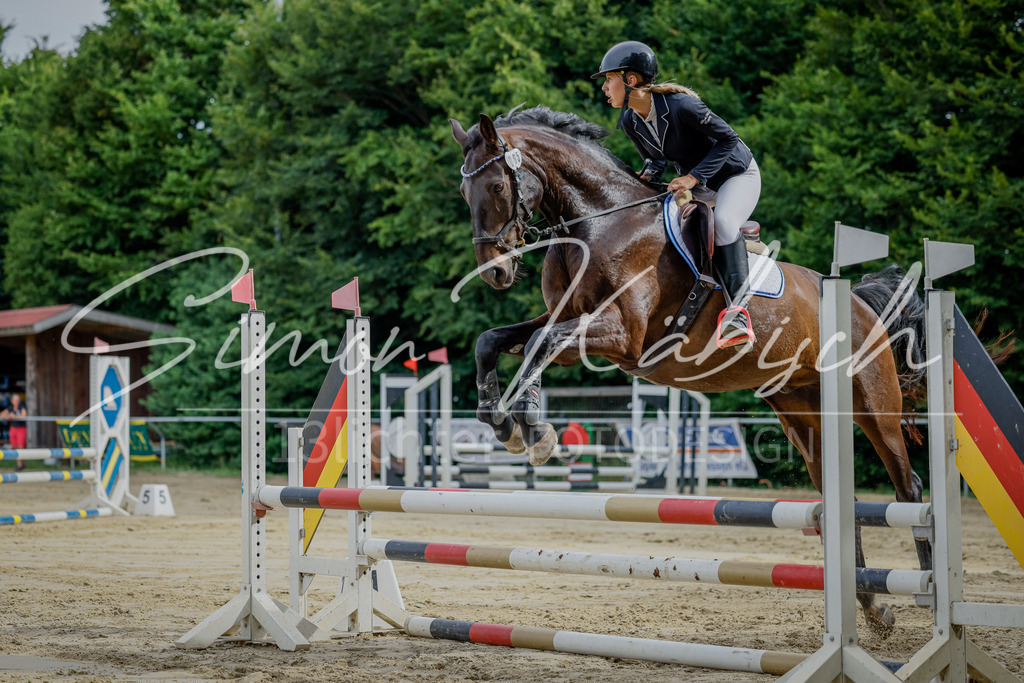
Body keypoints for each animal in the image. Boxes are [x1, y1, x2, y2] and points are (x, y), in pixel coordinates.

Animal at [449, 105, 930, 635]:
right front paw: (501, 422)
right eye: (464, 193)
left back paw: (927, 599)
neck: (599, 223)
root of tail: (861, 303)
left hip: (873, 404)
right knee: (835, 499)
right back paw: (873, 607)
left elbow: (539, 343)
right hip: (802, 413)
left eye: (497, 185)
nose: (495, 273)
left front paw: (535, 429)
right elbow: (493, 341)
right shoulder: (571, 324)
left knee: (908, 486)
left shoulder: (622, 334)